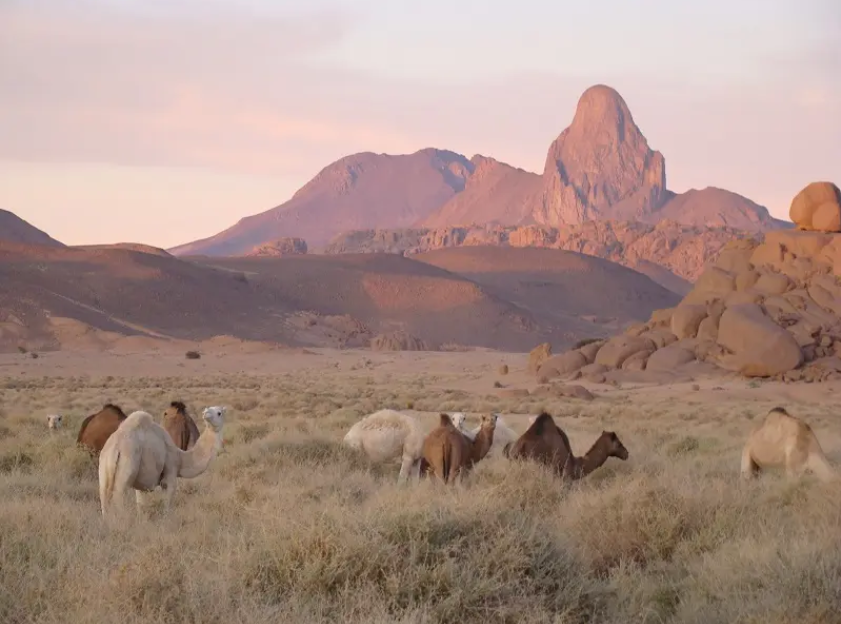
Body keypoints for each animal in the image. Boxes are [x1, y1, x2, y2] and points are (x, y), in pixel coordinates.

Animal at [97, 404, 226, 516]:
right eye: (214, 411)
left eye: (219, 412)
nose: (206, 413)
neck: (180, 459)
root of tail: (116, 448)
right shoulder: (170, 475)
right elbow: (167, 508)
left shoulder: (140, 485)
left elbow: (140, 505)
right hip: (126, 470)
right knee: (118, 498)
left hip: (103, 469)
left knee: (104, 499)